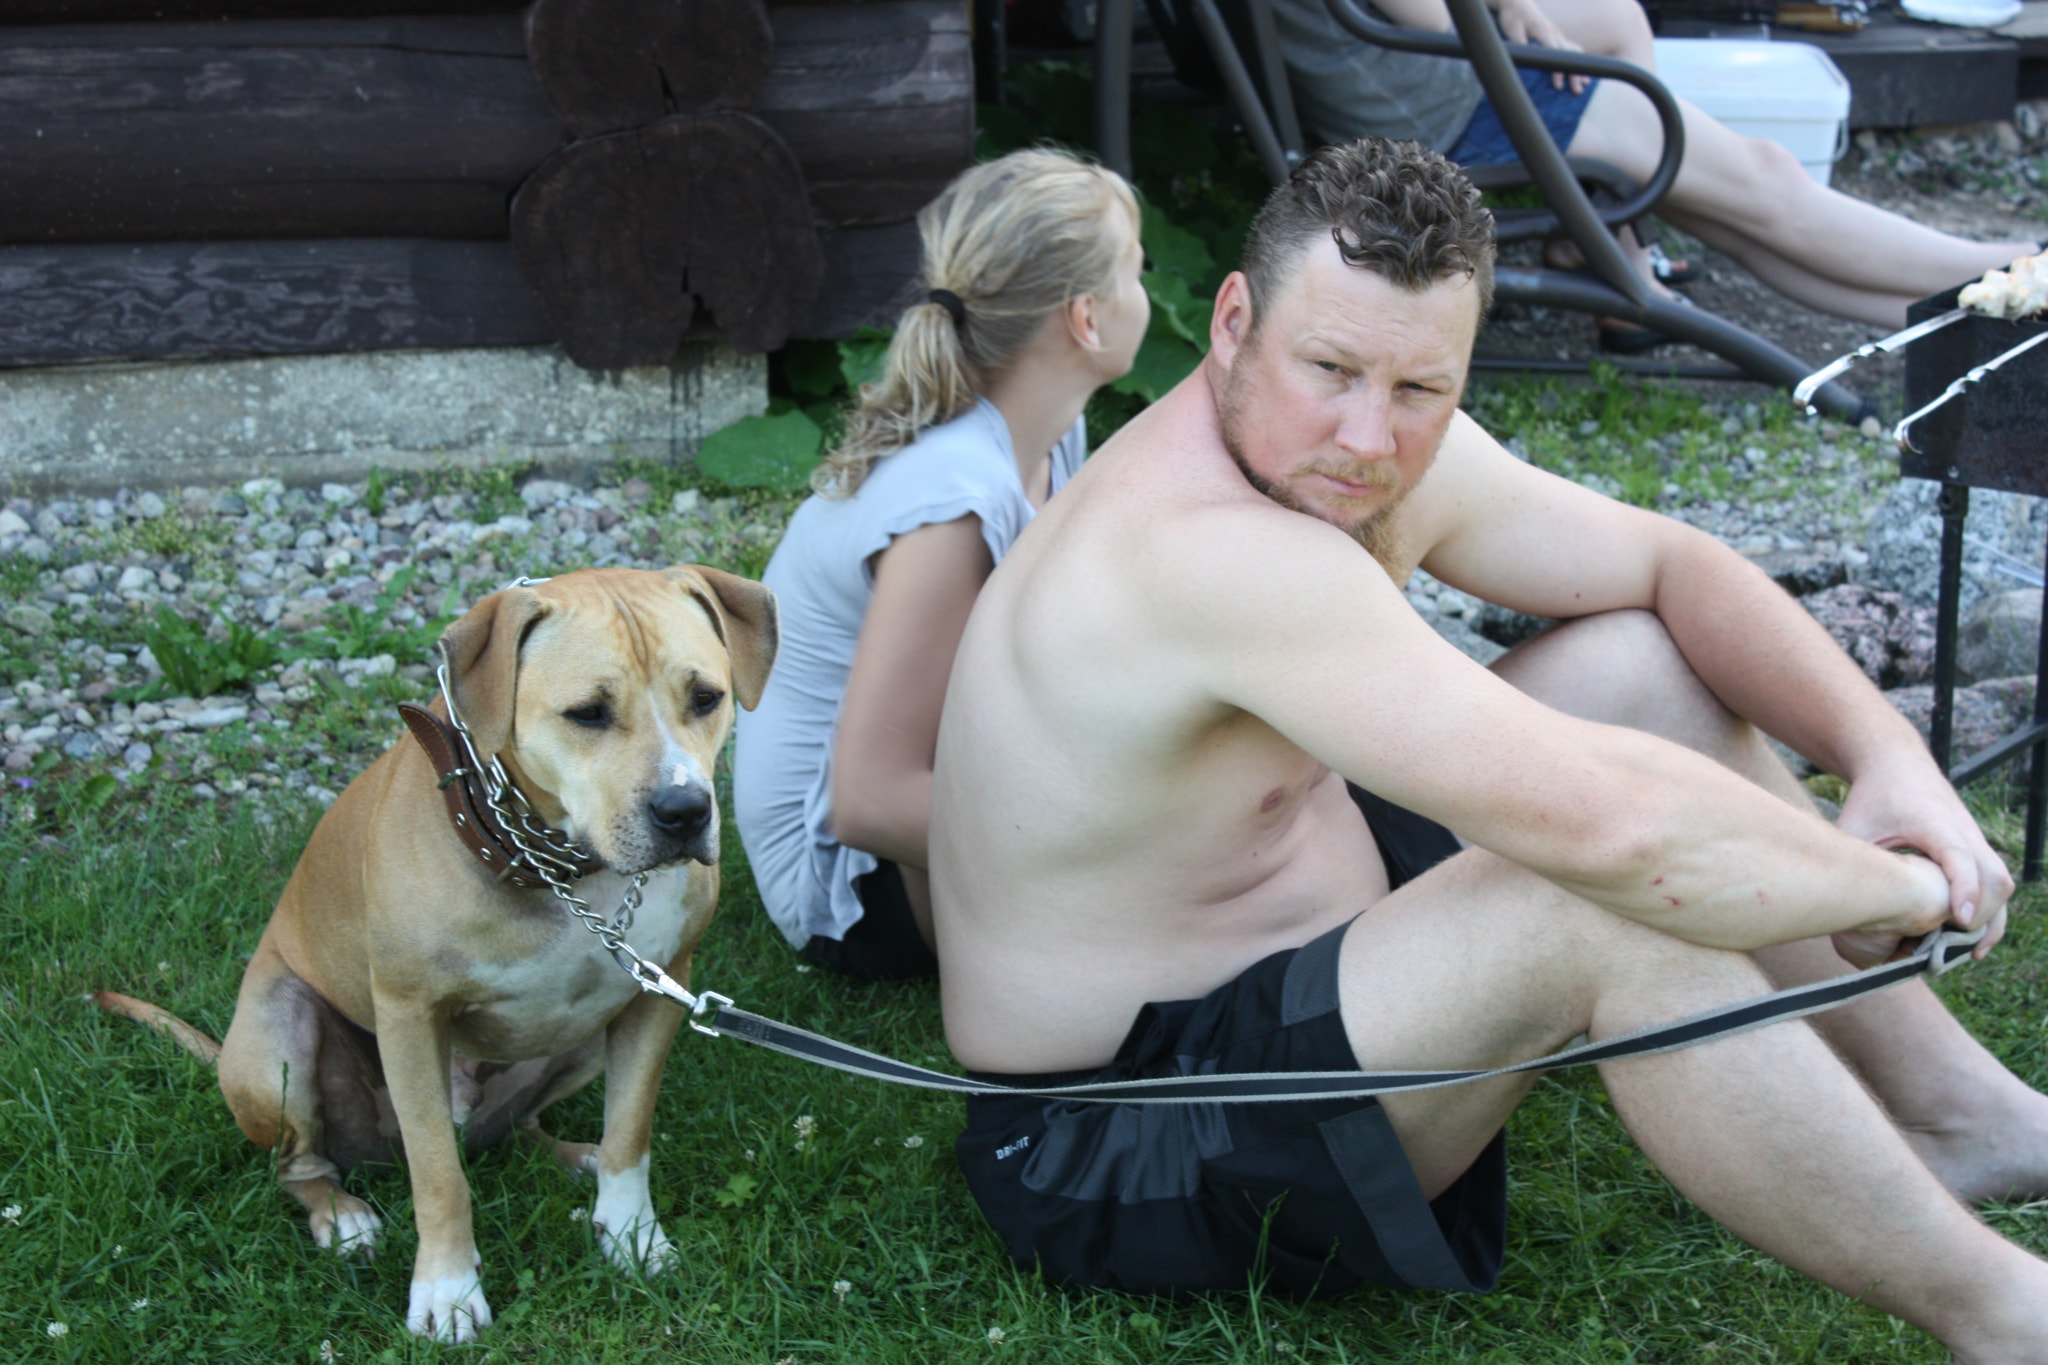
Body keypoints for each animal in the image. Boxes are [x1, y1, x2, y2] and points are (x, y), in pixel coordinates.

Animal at [95, 565, 777, 1341]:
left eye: (706, 698)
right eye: (587, 713)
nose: (684, 811)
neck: (565, 869)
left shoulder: (657, 994)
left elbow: (630, 1132)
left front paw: (631, 1234)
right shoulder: (410, 1017)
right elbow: (439, 1175)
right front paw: (448, 1291)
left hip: (579, 1043)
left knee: (519, 1128)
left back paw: (576, 1157)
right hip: (277, 1039)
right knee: (301, 1165)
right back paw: (342, 1216)